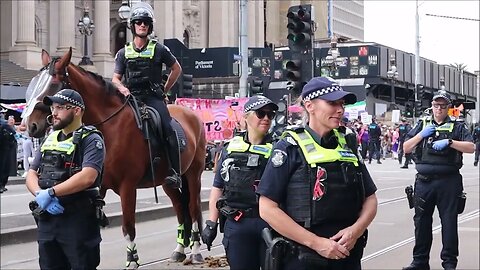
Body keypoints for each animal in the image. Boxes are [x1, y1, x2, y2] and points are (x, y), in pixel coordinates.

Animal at [24, 48, 207, 268]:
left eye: (52, 85)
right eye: (34, 82)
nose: (30, 125)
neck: (110, 126)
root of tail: (192, 115)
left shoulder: (128, 186)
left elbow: (128, 227)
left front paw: (133, 261)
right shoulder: (98, 185)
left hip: (194, 174)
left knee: (193, 208)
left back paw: (196, 251)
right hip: (167, 181)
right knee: (180, 208)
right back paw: (179, 250)